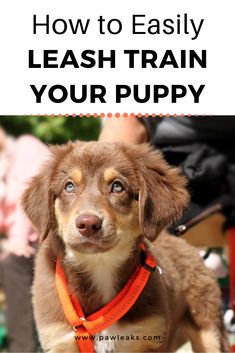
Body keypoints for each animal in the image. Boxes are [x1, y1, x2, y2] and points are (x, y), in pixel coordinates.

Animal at [22, 142, 229, 350]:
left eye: (117, 186)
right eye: (69, 186)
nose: (88, 224)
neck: (100, 265)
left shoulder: (149, 335)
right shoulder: (58, 339)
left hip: (207, 329)